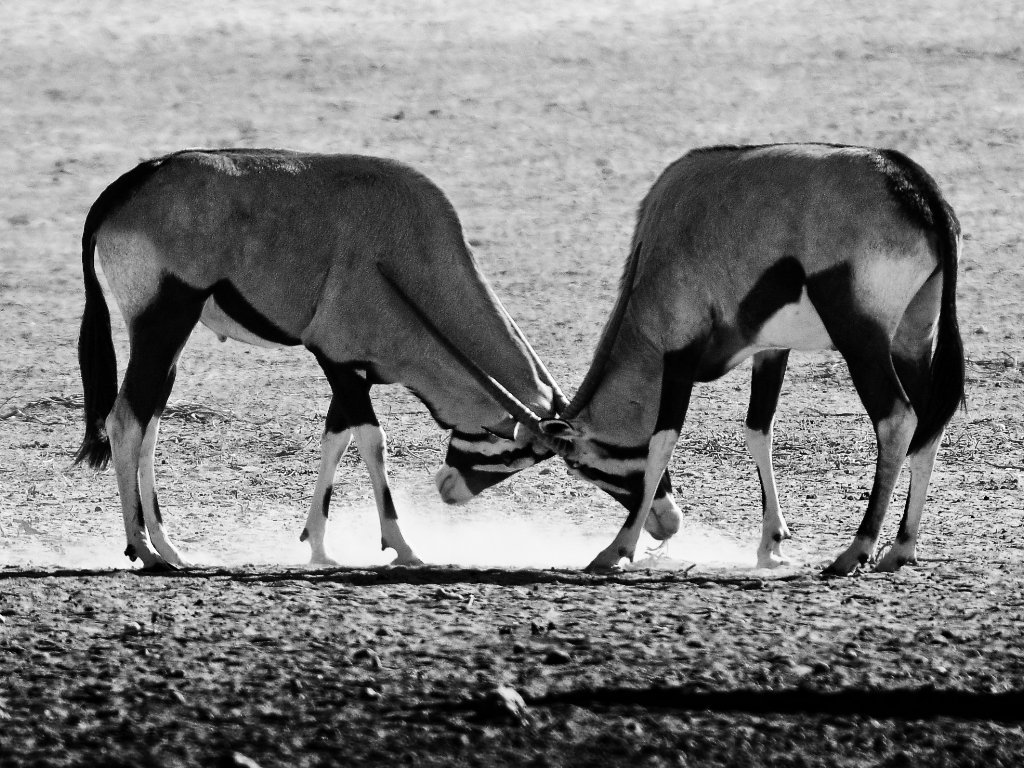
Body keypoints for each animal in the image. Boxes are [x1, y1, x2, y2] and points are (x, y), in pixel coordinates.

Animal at [76, 148, 585, 573]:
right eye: (519, 449)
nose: (449, 490)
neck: (414, 251)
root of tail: (137, 180)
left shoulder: (355, 371)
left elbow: (335, 440)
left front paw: (318, 545)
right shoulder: (335, 357)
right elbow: (372, 441)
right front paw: (403, 546)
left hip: (169, 341)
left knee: (148, 426)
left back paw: (169, 549)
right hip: (163, 323)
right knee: (126, 421)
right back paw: (144, 550)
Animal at [403, 145, 962, 577]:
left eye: (581, 467)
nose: (446, 486)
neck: (660, 239)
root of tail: (914, 188)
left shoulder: (678, 353)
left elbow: (661, 440)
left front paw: (615, 550)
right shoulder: (769, 349)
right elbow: (758, 431)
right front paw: (770, 546)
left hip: (862, 340)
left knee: (897, 418)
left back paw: (856, 550)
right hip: (913, 339)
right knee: (928, 423)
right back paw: (901, 548)